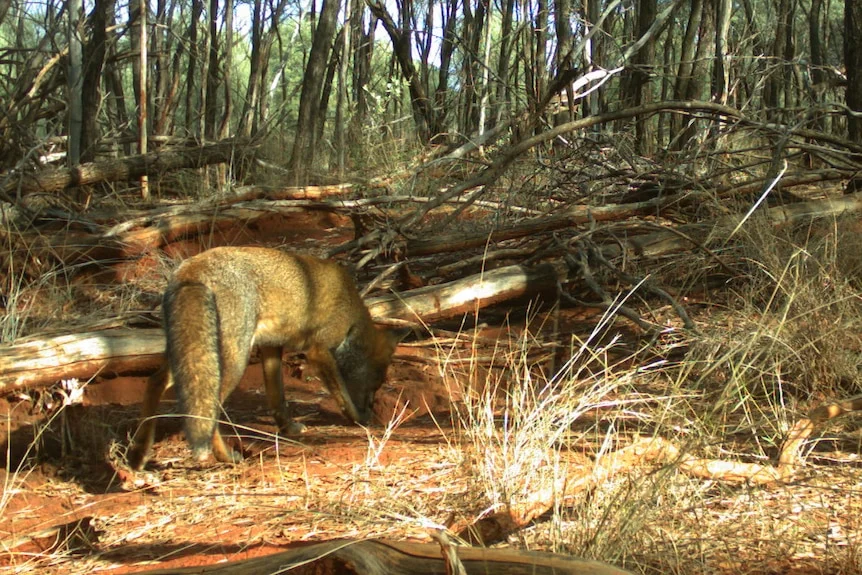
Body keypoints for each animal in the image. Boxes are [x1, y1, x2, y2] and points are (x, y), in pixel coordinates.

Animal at [127, 246, 405, 470]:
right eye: (375, 384)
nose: (373, 408)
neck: (351, 317)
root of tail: (193, 267)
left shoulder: (271, 347)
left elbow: (277, 397)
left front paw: (288, 429)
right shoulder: (318, 350)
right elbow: (343, 397)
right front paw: (360, 420)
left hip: (190, 355)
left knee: (155, 381)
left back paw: (138, 453)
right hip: (231, 359)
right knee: (209, 407)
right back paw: (226, 457)